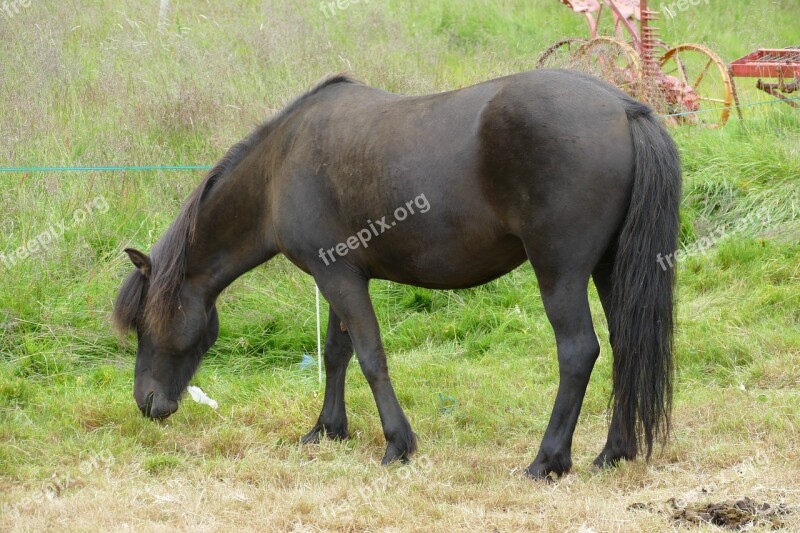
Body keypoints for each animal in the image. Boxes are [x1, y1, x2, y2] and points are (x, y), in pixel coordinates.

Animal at [114, 70, 680, 478]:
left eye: (142, 323)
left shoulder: (339, 279)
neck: (280, 168)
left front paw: (397, 445)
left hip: (559, 273)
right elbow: (337, 353)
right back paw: (613, 453)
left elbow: (369, 357)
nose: (147, 403)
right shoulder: (336, 277)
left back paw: (547, 460)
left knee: (579, 352)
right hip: (608, 269)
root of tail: (623, 107)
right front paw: (327, 429)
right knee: (627, 345)